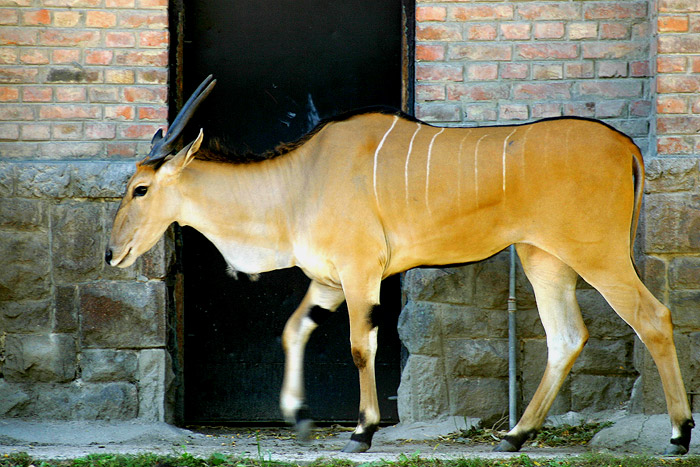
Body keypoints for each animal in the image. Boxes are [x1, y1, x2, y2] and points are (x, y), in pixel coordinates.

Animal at [106, 76, 692, 454]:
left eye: (140, 188)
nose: (112, 253)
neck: (298, 180)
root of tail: (627, 147)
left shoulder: (360, 270)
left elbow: (360, 346)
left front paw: (362, 431)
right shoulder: (328, 281)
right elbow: (294, 330)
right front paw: (299, 417)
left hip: (598, 254)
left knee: (653, 318)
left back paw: (679, 434)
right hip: (541, 257)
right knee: (566, 336)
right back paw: (514, 437)